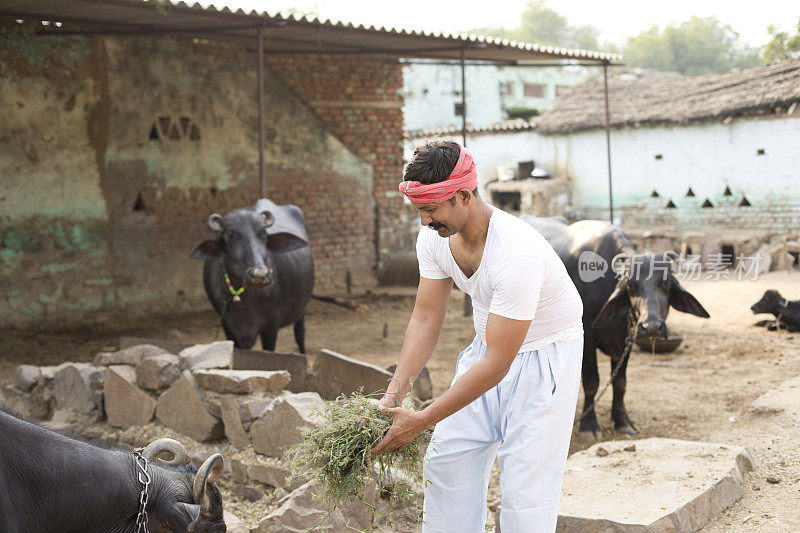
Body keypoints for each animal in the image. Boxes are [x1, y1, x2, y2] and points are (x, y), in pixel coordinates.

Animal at [192, 197, 314, 352]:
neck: (244, 302)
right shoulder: (227, 326)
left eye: (263, 234)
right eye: (232, 235)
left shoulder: (271, 325)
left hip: (301, 308)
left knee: (300, 333)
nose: (260, 275)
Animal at [528, 216, 708, 436]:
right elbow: (592, 382)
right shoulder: (588, 337)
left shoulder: (626, 339)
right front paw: (588, 425)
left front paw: (622, 421)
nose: (651, 327)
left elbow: (620, 382)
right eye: (631, 285)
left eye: (665, 283)